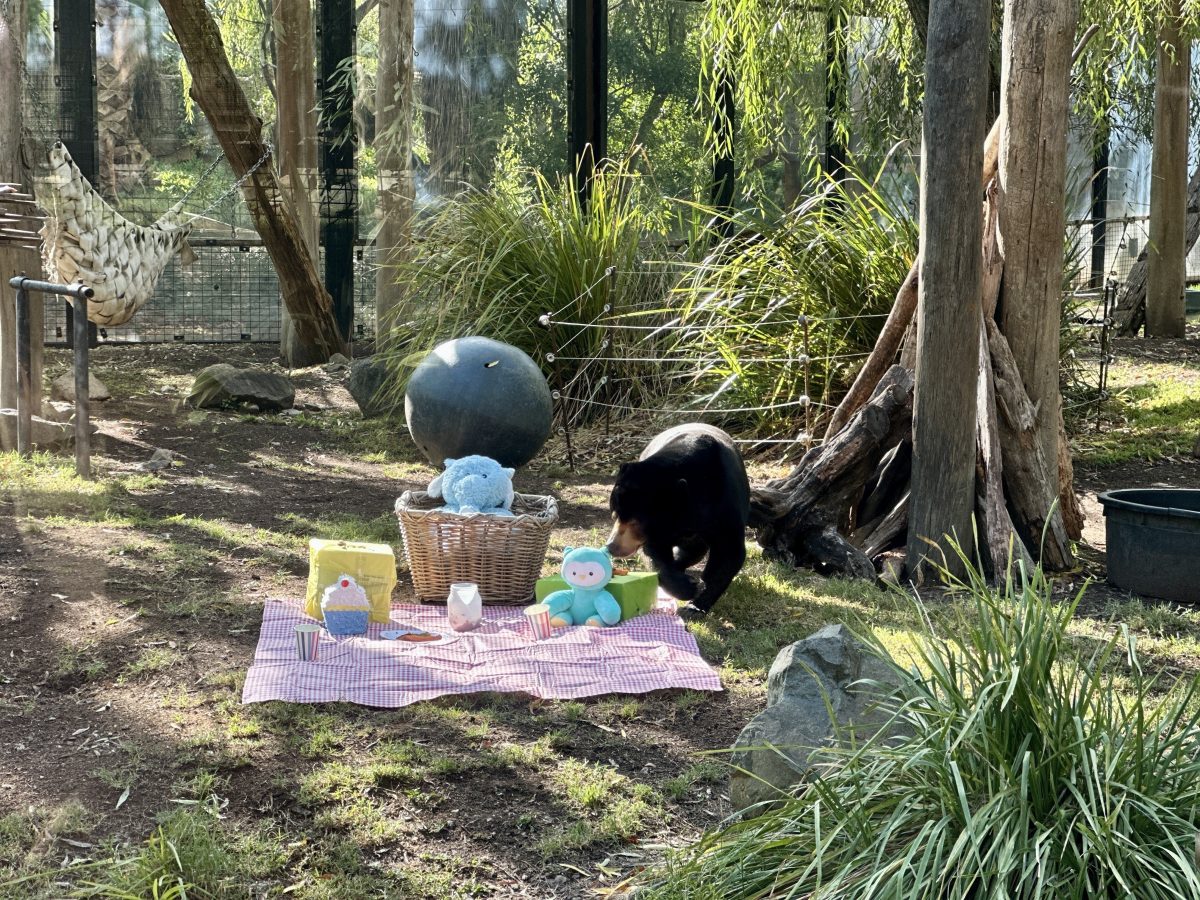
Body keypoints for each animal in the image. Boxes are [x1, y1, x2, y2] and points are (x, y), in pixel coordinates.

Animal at [604, 427, 782, 619]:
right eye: (614, 515)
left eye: (635, 521)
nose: (611, 547)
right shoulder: (658, 531)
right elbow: (656, 555)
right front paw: (689, 586)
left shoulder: (725, 506)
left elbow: (728, 553)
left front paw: (695, 605)